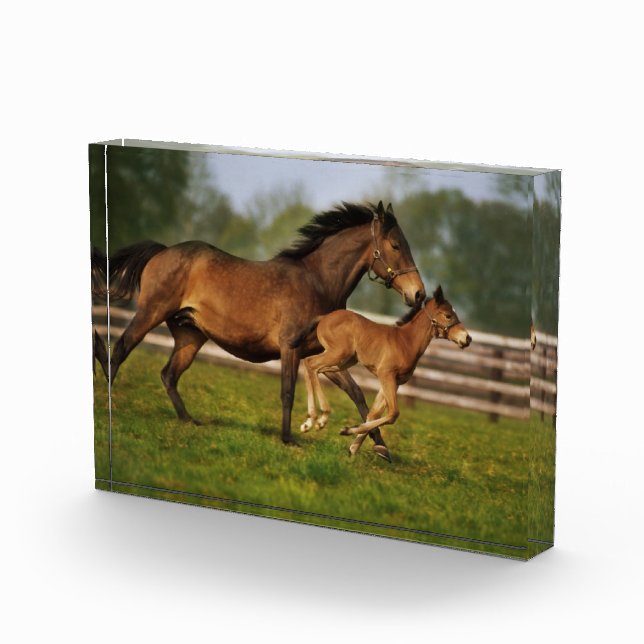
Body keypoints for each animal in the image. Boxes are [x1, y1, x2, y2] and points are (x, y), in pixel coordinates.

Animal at [95, 201, 425, 460]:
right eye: (396, 245)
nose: (419, 294)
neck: (318, 281)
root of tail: (162, 251)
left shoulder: (327, 354)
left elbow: (357, 394)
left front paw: (380, 448)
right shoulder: (291, 348)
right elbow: (288, 391)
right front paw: (290, 438)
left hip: (189, 336)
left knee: (168, 375)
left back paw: (189, 420)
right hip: (150, 314)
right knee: (119, 351)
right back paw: (113, 406)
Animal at [291, 285, 471, 458]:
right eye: (448, 315)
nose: (467, 338)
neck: (406, 342)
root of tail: (324, 317)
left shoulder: (395, 382)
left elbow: (373, 415)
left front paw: (353, 449)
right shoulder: (386, 375)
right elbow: (393, 414)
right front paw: (347, 431)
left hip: (345, 361)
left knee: (314, 367)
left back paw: (312, 420)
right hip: (338, 354)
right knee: (311, 363)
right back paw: (319, 419)